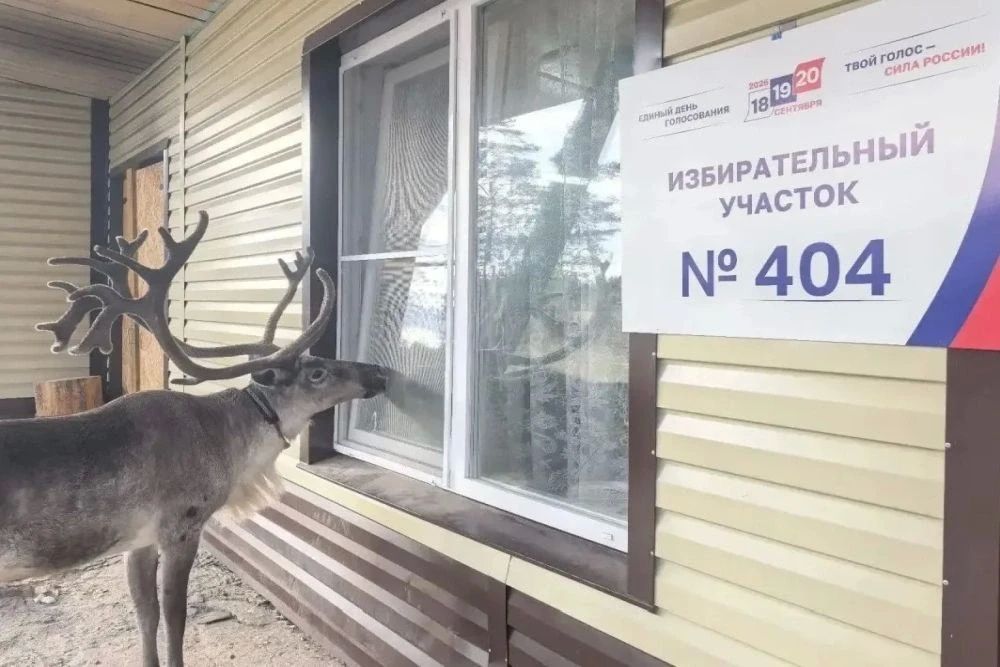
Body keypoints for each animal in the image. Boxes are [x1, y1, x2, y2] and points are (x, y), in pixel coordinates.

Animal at [0, 211, 388, 667]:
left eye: (318, 361)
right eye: (317, 372)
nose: (378, 371)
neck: (230, 448)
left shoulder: (138, 540)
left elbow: (145, 614)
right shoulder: (182, 524)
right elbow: (175, 615)